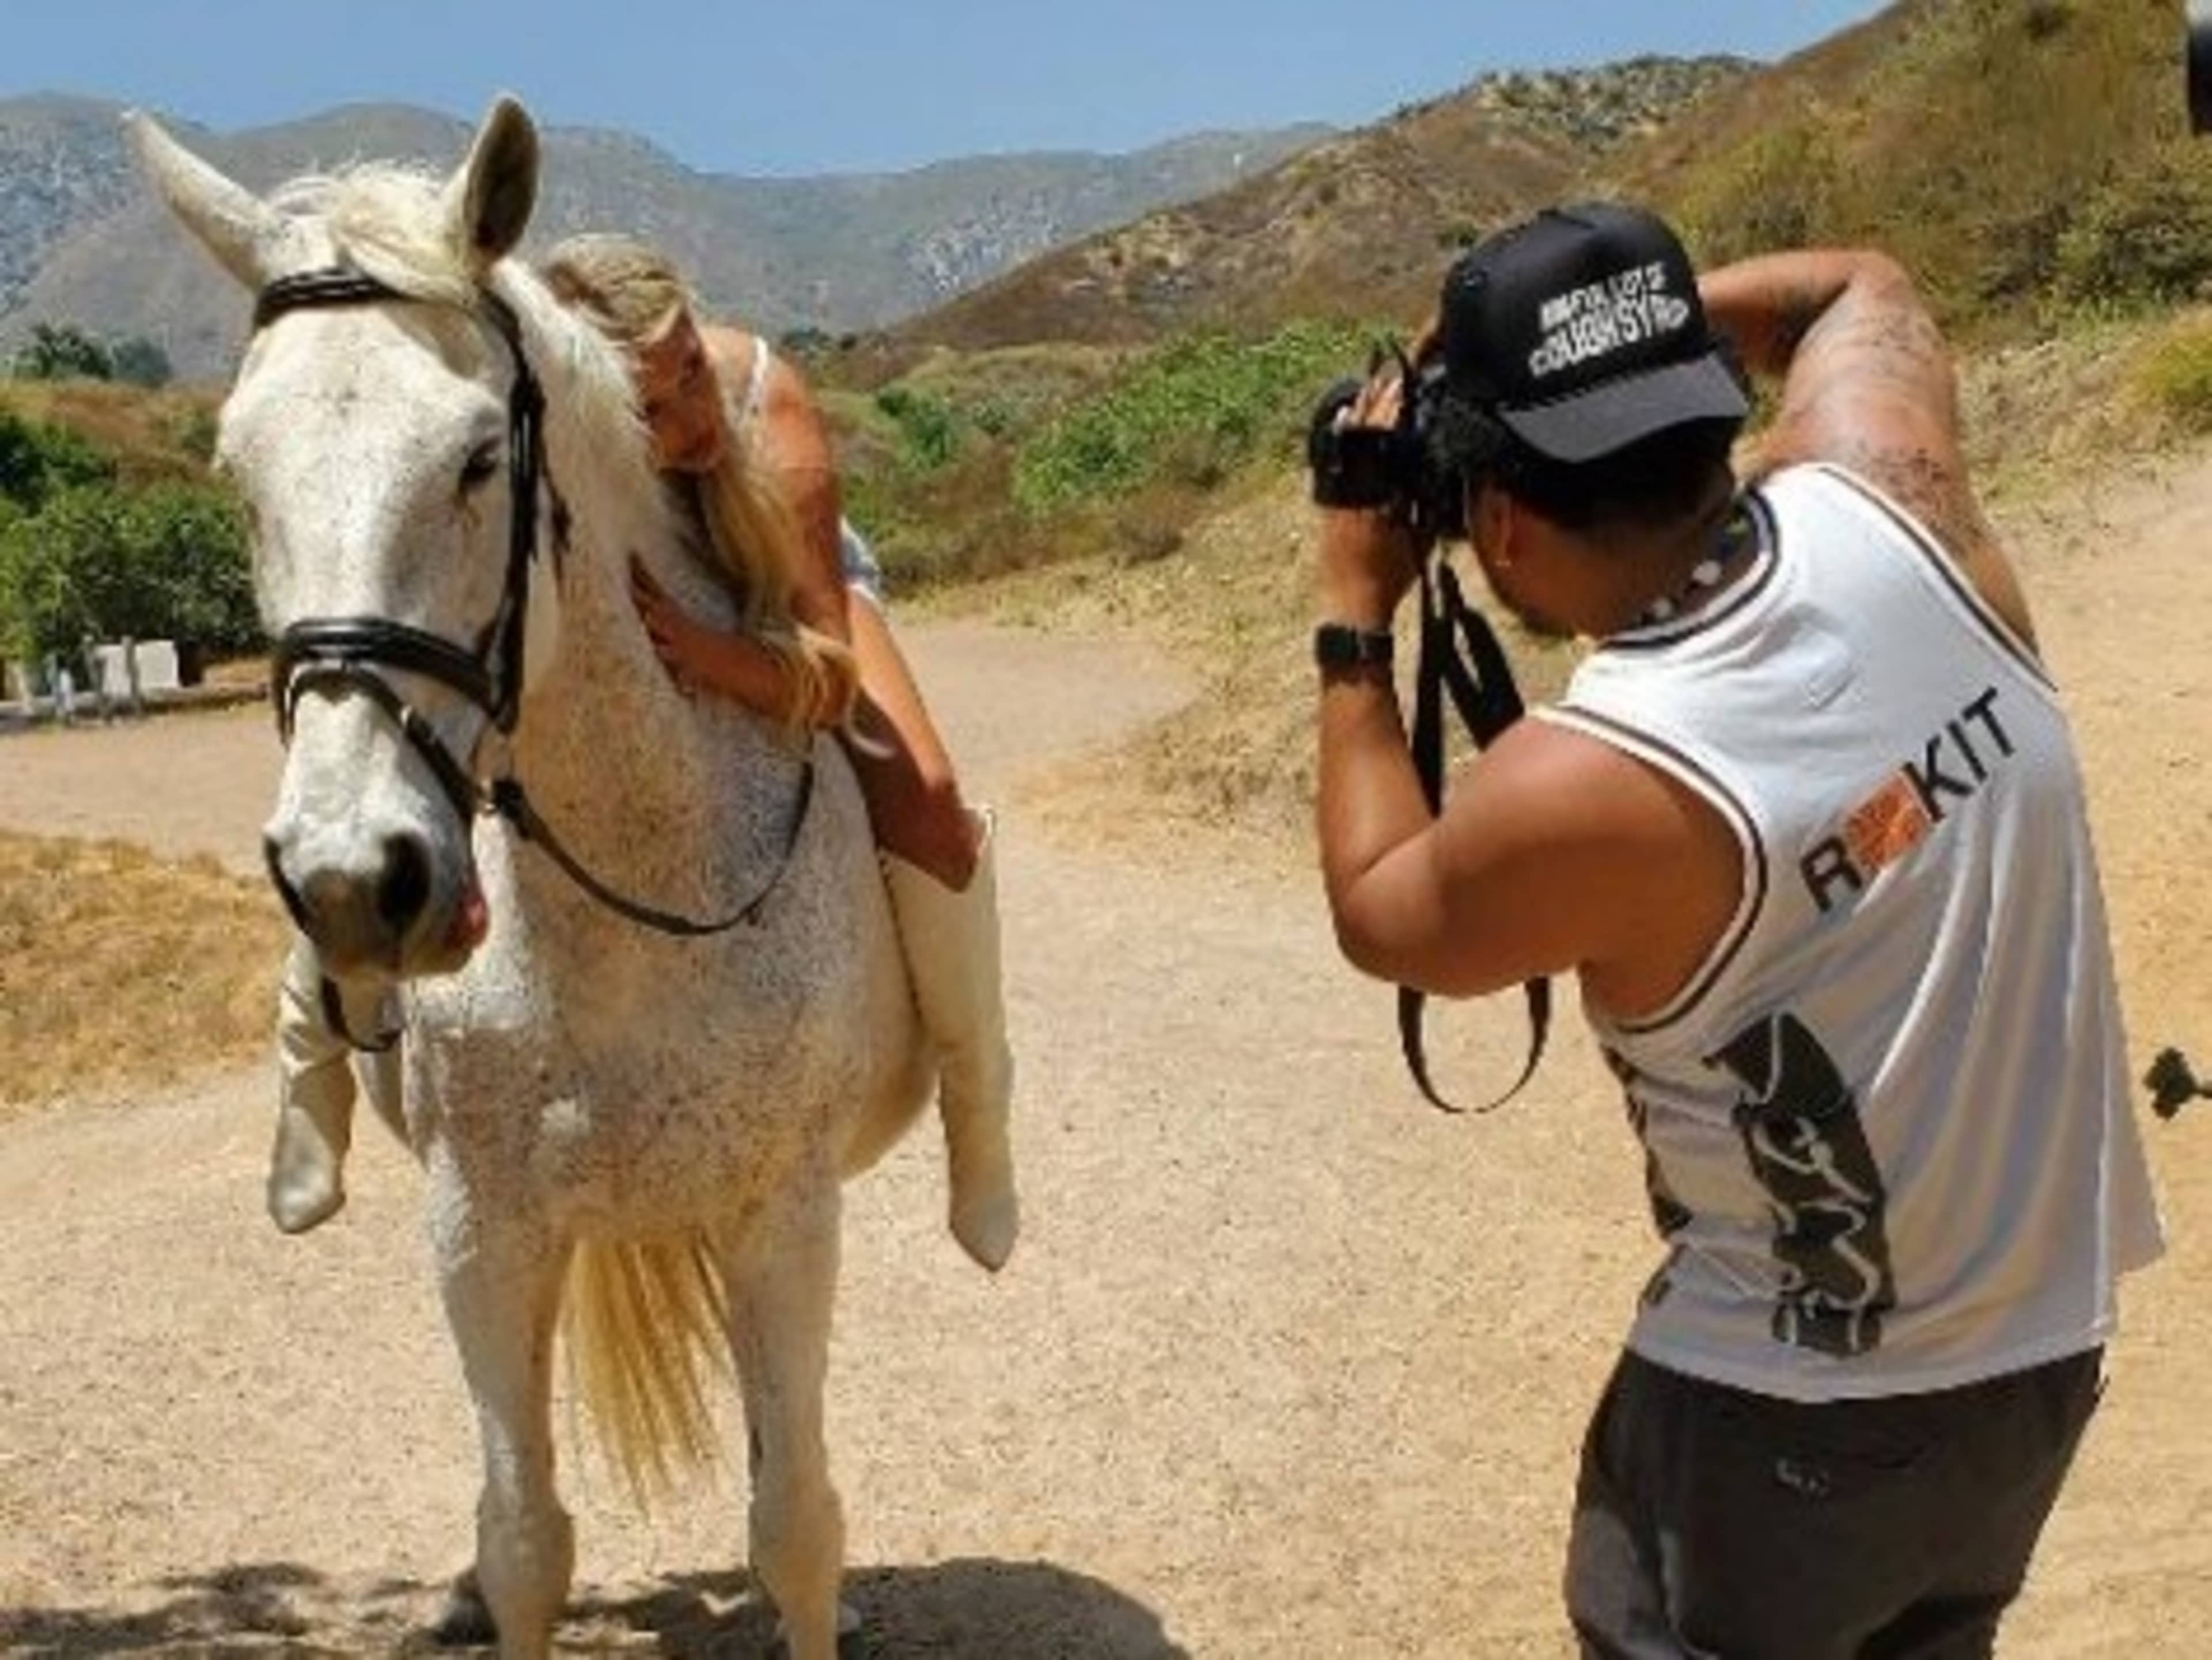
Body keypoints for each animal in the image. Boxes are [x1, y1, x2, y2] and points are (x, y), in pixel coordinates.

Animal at [131, 96, 966, 1660]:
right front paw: (488, 1580)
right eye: (236, 469)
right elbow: (523, 1533)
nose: (357, 879)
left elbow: (798, 1524)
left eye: (477, 456)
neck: (632, 892)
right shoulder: (485, 1226)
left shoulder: (782, 1211)